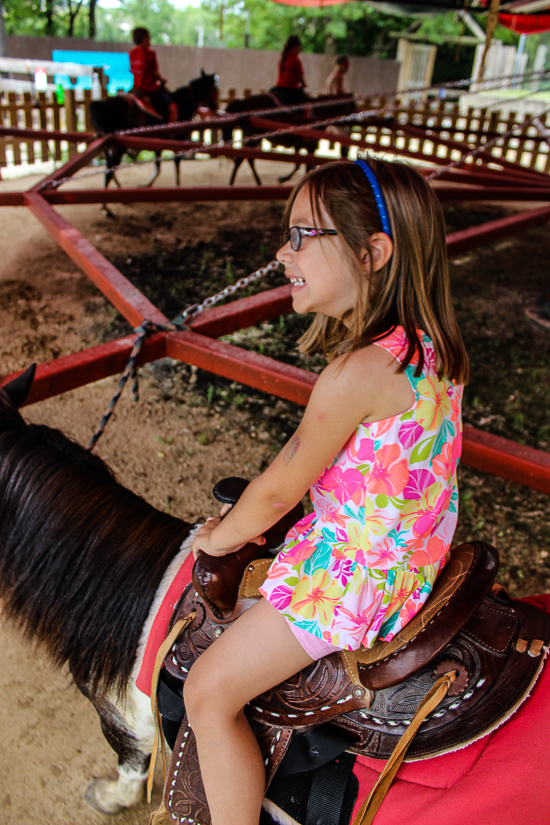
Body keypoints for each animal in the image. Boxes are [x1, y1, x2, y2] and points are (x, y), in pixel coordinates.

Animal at [90, 71, 220, 191]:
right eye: (215, 89)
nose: (216, 106)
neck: (183, 102)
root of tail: (100, 103)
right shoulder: (178, 140)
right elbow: (175, 164)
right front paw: (177, 185)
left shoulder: (159, 144)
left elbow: (158, 168)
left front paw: (146, 185)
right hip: (118, 148)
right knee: (109, 171)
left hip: (109, 147)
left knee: (109, 169)